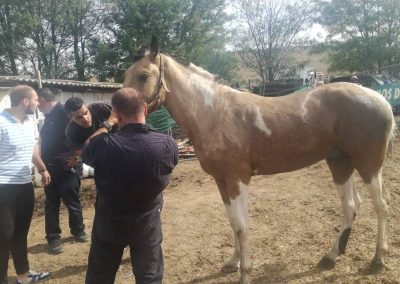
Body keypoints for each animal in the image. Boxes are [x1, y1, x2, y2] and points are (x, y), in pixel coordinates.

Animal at [123, 37, 396, 284]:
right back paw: (331, 257)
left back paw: (377, 260)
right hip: (340, 162)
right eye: (126, 74)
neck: (216, 113)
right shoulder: (222, 181)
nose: (119, 115)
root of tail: (380, 99)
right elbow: (233, 221)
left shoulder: (238, 179)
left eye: (144, 76)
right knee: (351, 205)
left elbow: (243, 225)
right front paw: (233, 263)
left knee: (381, 205)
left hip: (368, 164)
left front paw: (245, 273)